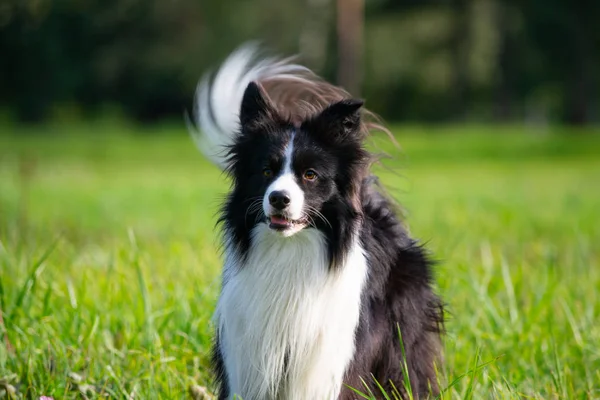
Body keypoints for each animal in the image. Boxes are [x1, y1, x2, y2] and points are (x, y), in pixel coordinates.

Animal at [190, 44, 442, 400]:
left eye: (310, 175)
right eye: (266, 171)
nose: (279, 198)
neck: (291, 251)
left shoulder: (325, 362)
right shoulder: (248, 354)